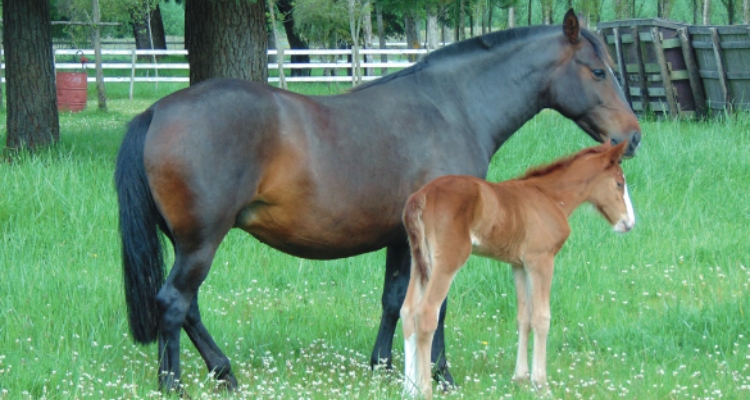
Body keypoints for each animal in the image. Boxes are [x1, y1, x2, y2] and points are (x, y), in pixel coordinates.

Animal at [402, 141, 636, 396]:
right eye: (619, 183)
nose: (629, 223)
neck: (550, 197)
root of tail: (422, 196)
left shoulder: (519, 265)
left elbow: (524, 317)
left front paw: (521, 378)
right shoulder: (541, 261)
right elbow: (542, 318)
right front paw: (541, 384)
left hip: (419, 260)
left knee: (407, 312)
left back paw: (408, 390)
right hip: (448, 259)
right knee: (425, 314)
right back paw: (424, 391)